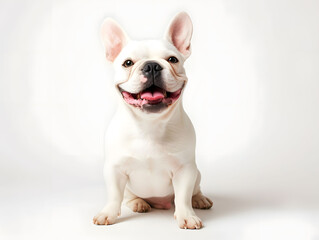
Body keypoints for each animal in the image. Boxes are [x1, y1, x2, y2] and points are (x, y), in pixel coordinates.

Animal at [94, 12, 214, 230]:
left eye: (173, 59)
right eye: (127, 63)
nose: (151, 65)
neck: (149, 125)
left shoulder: (186, 170)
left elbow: (183, 196)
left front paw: (186, 216)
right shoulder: (114, 169)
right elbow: (114, 195)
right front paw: (108, 213)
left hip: (197, 173)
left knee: (194, 190)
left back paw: (199, 199)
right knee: (127, 196)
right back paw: (139, 203)